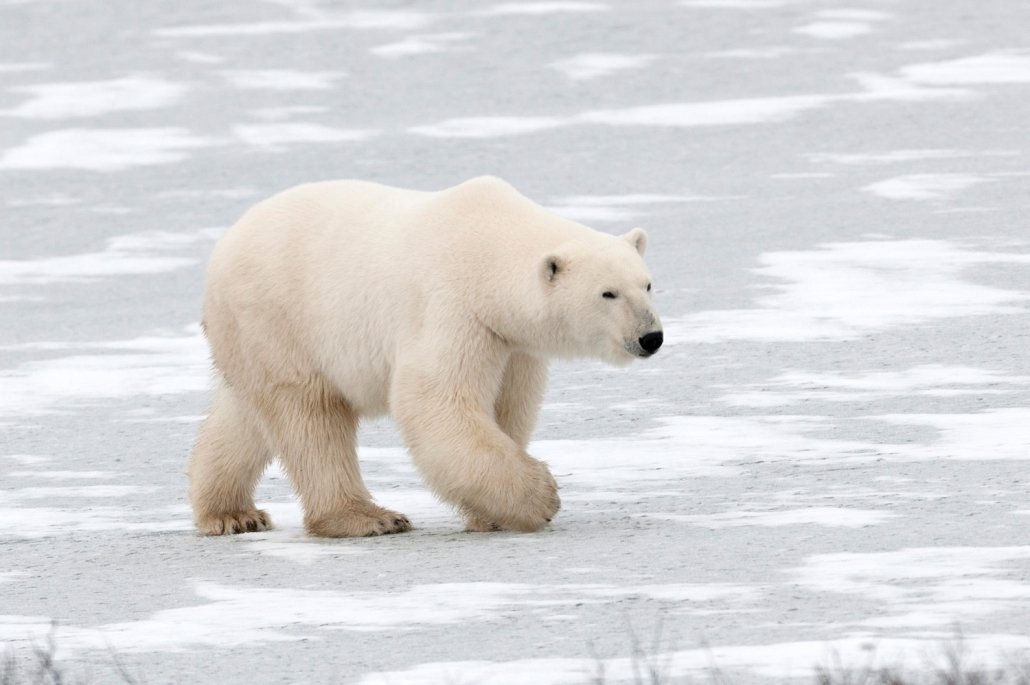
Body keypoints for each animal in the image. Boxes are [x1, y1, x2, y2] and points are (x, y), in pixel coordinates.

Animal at [188, 175, 663, 535]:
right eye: (608, 293)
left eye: (647, 283)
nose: (651, 337)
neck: (486, 247)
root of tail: (222, 249)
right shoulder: (452, 307)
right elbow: (435, 400)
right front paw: (541, 497)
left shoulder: (511, 342)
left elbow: (509, 407)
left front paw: (490, 514)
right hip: (281, 316)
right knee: (310, 417)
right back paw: (369, 518)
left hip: (255, 339)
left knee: (246, 418)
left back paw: (231, 513)